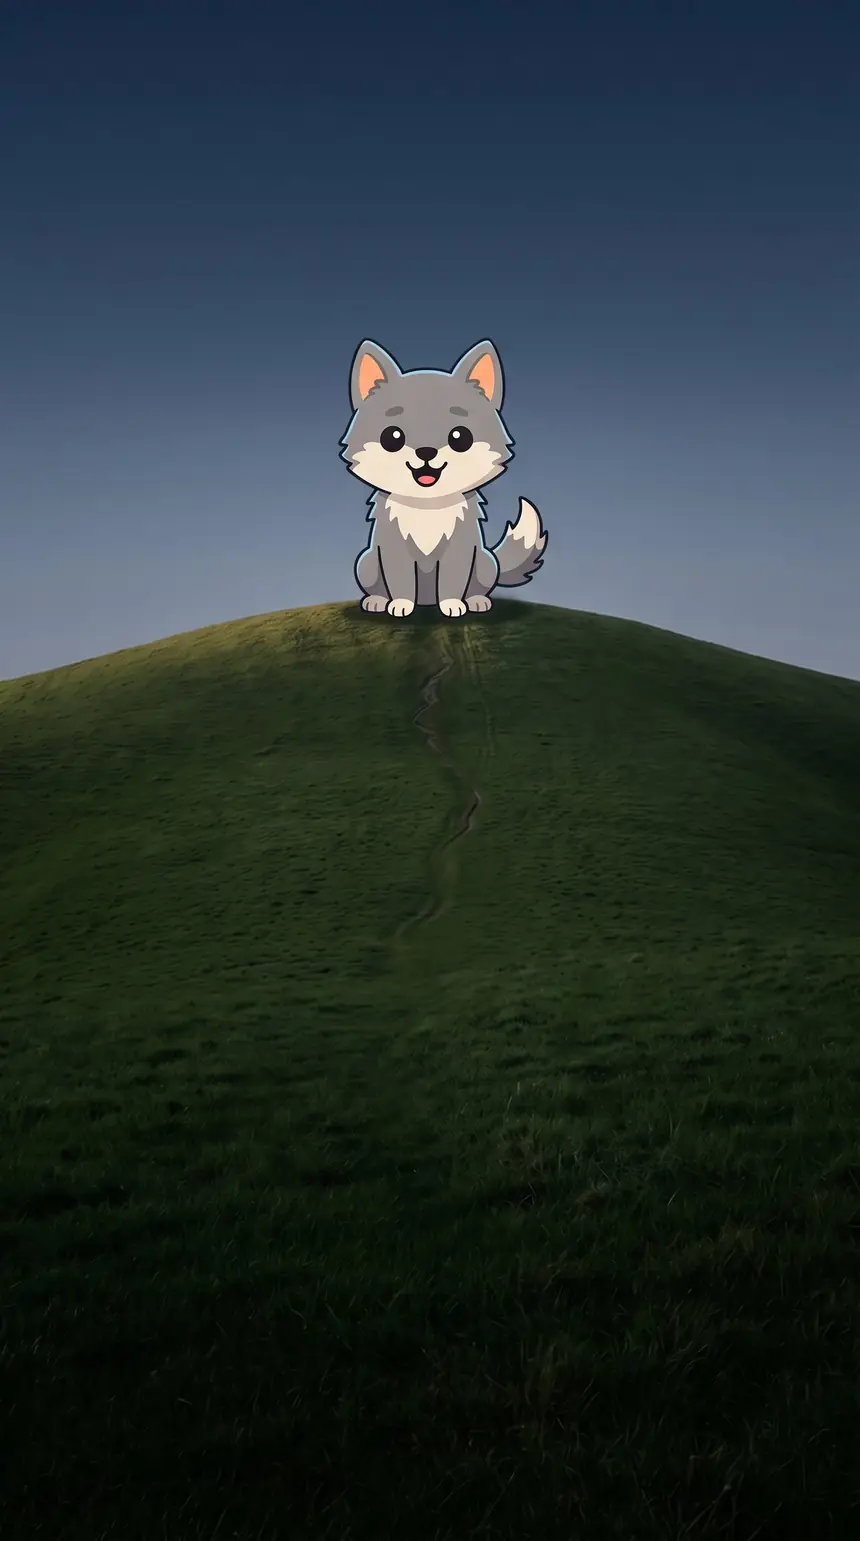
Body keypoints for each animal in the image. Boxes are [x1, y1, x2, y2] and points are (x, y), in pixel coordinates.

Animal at [340, 338, 548, 617]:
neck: (427, 506)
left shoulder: (460, 550)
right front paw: (400, 605)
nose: (426, 452)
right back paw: (376, 601)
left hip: (485, 563)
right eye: (392, 437)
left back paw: (477, 601)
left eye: (460, 437)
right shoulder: (393, 550)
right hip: (366, 563)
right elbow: (401, 581)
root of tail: (427, 602)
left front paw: (453, 606)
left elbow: (453, 580)